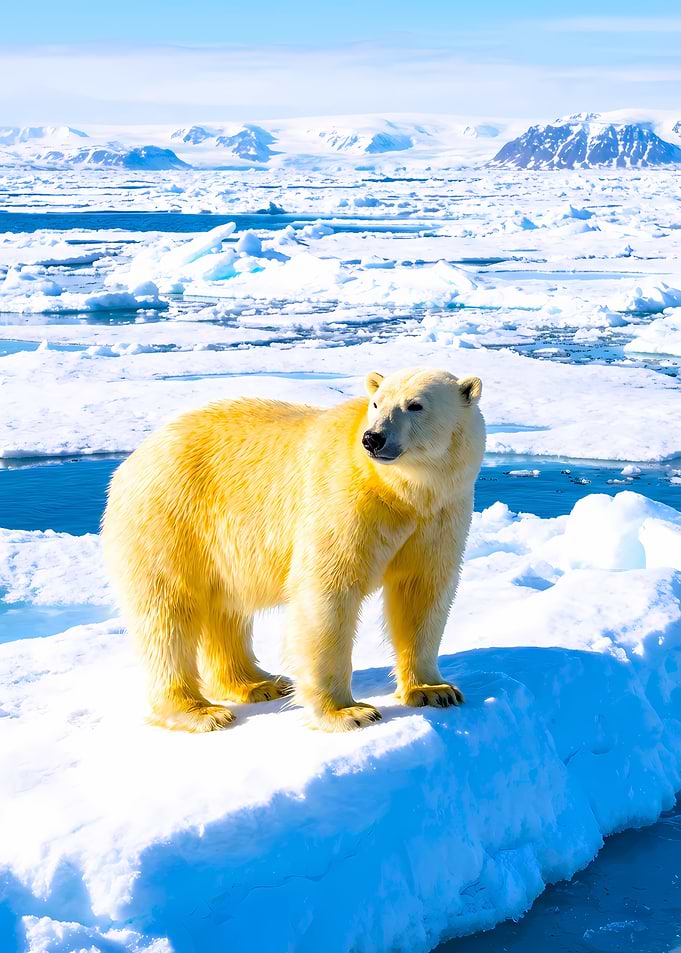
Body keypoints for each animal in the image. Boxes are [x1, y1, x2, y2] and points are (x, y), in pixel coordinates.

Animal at [101, 366, 485, 733]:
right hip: (169, 521)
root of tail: (130, 462)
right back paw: (199, 711)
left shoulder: (439, 514)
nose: (373, 438)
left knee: (224, 609)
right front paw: (347, 712)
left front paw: (435, 690)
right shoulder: (344, 500)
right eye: (376, 403)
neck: (401, 491)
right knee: (168, 615)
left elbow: (422, 592)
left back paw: (258, 683)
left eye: (415, 405)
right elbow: (327, 593)